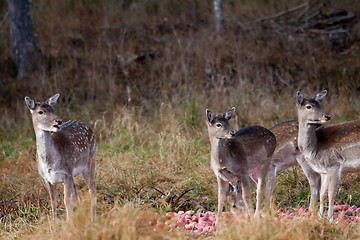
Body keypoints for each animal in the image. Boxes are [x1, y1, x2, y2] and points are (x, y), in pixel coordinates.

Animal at [296, 89, 360, 221]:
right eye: (309, 106)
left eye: (320, 104)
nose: (327, 116)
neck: (314, 149)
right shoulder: (323, 171)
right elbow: (322, 194)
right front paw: (320, 218)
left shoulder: (334, 165)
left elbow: (331, 194)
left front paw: (330, 220)